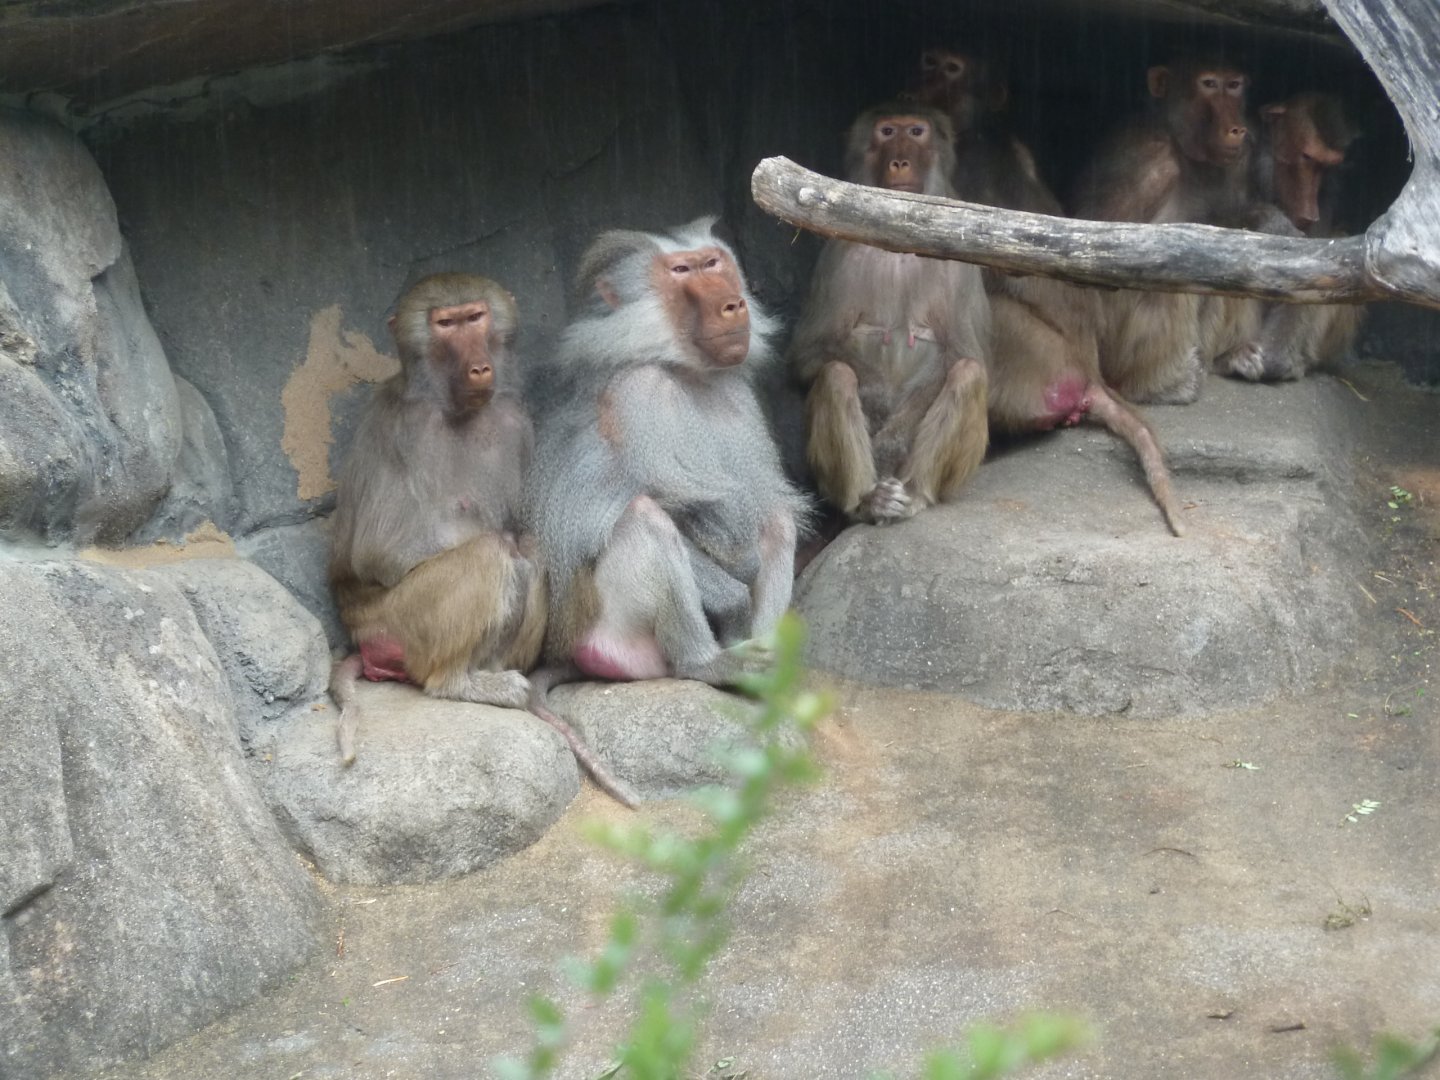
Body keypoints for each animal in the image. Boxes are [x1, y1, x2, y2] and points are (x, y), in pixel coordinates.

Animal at [327, 273, 548, 768]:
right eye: (446, 325)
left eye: (475, 317)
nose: (480, 369)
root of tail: (360, 634)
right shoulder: (408, 426)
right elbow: (379, 554)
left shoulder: (514, 420)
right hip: (397, 620)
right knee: (494, 552)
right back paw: (458, 683)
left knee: (532, 549)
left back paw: (489, 675)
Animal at [525, 218, 807, 802]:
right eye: (681, 271)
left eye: (713, 262)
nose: (733, 304)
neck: (685, 371)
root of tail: (565, 648)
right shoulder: (640, 398)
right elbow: (648, 509)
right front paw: (730, 603)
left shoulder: (736, 398)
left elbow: (756, 516)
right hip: (610, 626)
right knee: (643, 518)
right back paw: (709, 663)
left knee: (777, 520)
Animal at [789, 103, 991, 524]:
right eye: (886, 131)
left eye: (915, 131)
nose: (899, 162)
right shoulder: (839, 254)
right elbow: (810, 352)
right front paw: (879, 401)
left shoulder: (961, 264)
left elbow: (963, 354)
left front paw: (894, 437)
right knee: (836, 375)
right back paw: (867, 502)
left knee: (968, 373)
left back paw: (914, 493)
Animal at [1210, 92, 1365, 381]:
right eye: (1307, 157)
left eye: (1327, 166)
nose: (1310, 211)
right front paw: (1273, 222)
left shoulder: (1328, 193)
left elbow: (1315, 274)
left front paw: (1277, 360)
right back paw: (1226, 359)